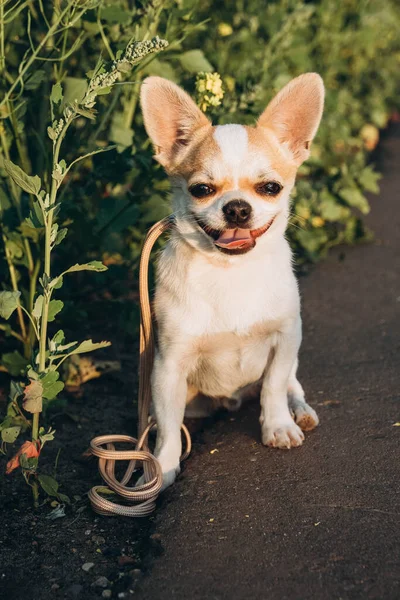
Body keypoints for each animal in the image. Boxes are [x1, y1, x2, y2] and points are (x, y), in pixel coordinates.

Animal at [139, 72, 324, 490]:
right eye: (201, 190)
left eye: (270, 188)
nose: (237, 207)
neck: (230, 272)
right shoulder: (168, 367)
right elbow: (169, 427)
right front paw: (164, 465)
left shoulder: (286, 338)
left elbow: (274, 386)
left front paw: (278, 426)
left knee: (291, 383)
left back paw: (299, 410)